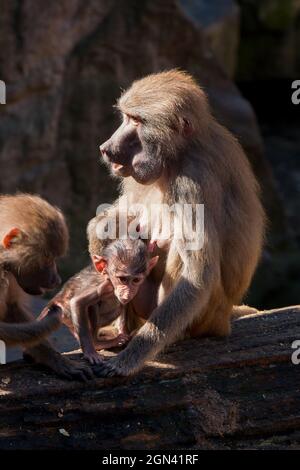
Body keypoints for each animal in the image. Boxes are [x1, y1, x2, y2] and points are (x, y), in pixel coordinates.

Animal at [41, 237, 161, 366]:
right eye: (122, 279)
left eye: (136, 280)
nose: (127, 292)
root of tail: (57, 299)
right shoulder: (103, 286)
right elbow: (78, 302)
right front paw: (90, 353)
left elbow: (125, 303)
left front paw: (123, 331)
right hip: (68, 311)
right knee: (93, 306)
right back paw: (97, 343)